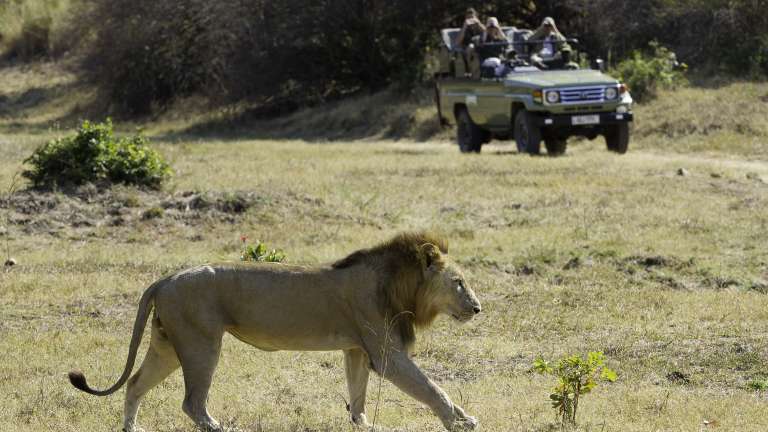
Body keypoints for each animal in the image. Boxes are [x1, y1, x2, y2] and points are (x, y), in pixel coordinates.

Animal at [68, 231, 482, 431]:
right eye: (459, 282)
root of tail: (166, 278)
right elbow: (433, 388)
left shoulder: (357, 350)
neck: (398, 284)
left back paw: (132, 429)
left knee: (136, 383)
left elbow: (358, 397)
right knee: (192, 402)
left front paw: (366, 426)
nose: (478, 308)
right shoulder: (387, 355)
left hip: (167, 345)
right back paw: (222, 429)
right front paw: (460, 423)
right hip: (202, 343)